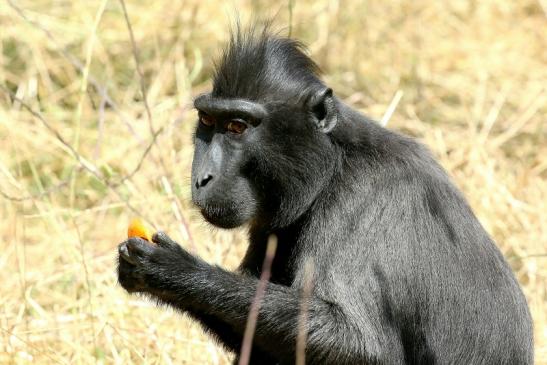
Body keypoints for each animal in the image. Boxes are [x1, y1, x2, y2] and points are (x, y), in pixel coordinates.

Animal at [116, 29, 536, 364]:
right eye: (207, 121)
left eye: (237, 127)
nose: (202, 178)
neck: (331, 166)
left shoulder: (363, 201)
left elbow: (359, 345)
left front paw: (176, 270)